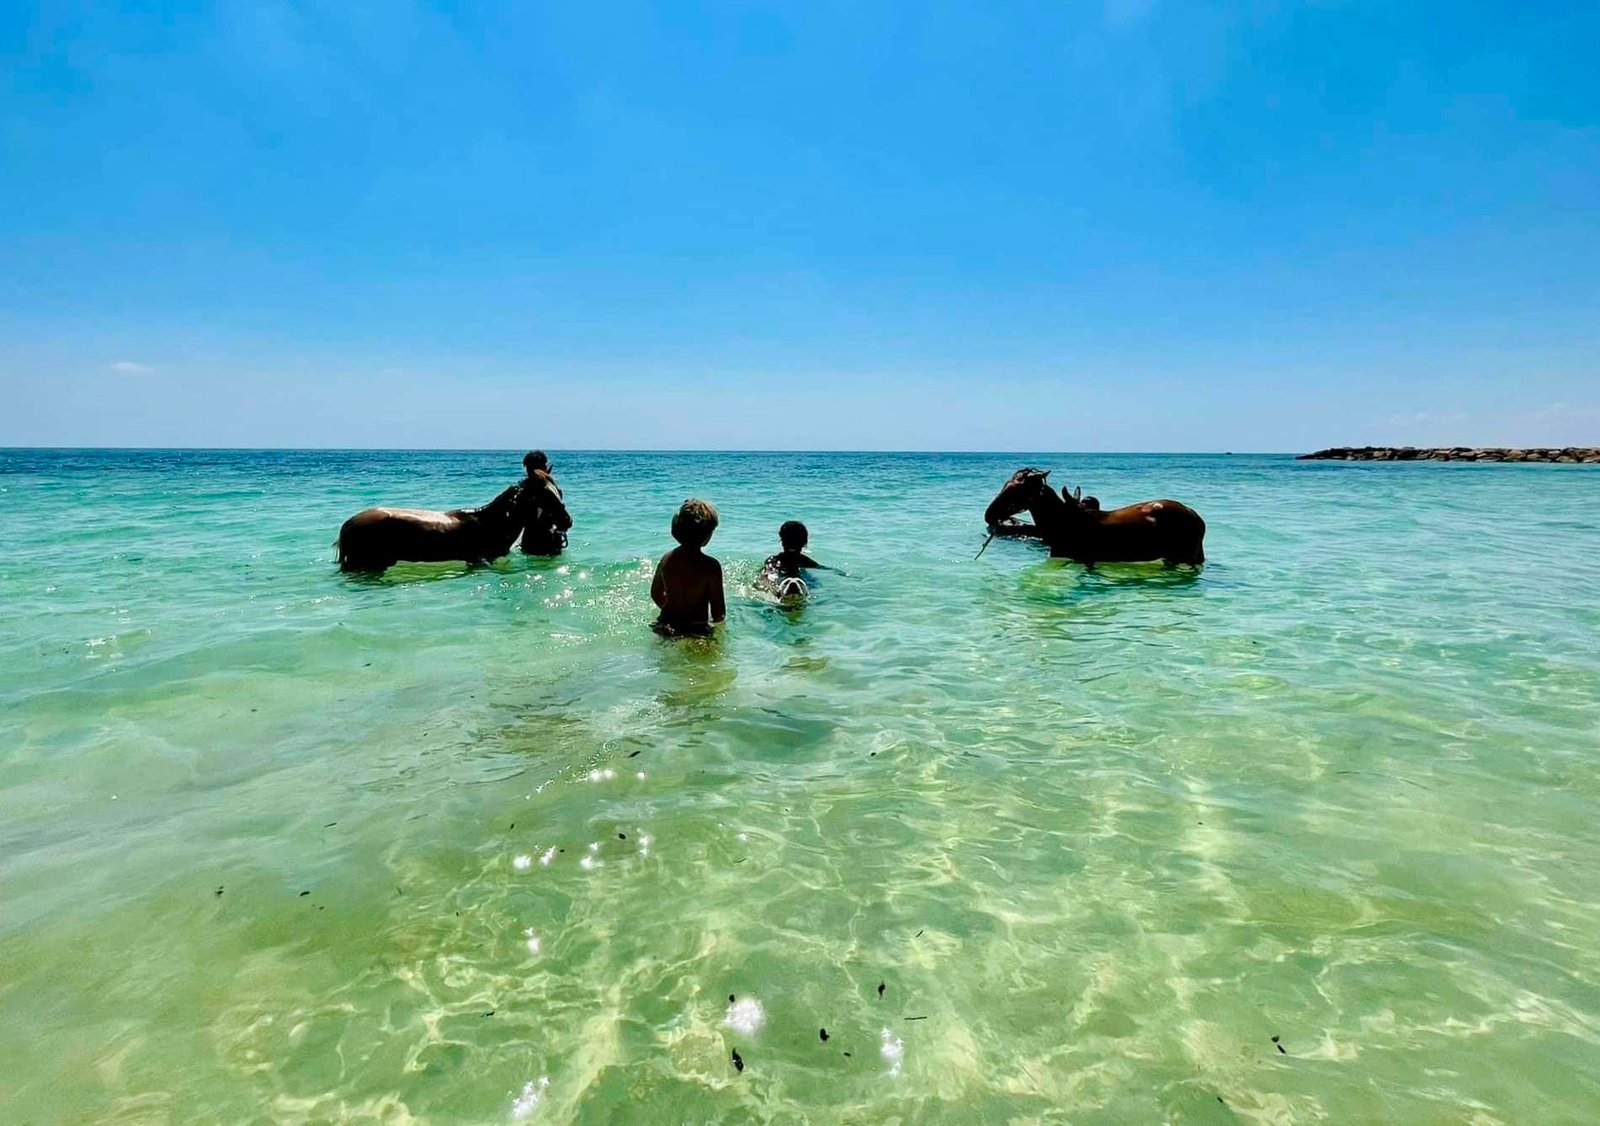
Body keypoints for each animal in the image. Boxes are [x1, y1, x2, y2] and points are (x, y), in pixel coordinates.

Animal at [336, 483, 526, 573]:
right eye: (518, 495)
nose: (515, 486)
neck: (491, 520)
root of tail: (345, 526)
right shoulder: (478, 557)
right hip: (366, 558)